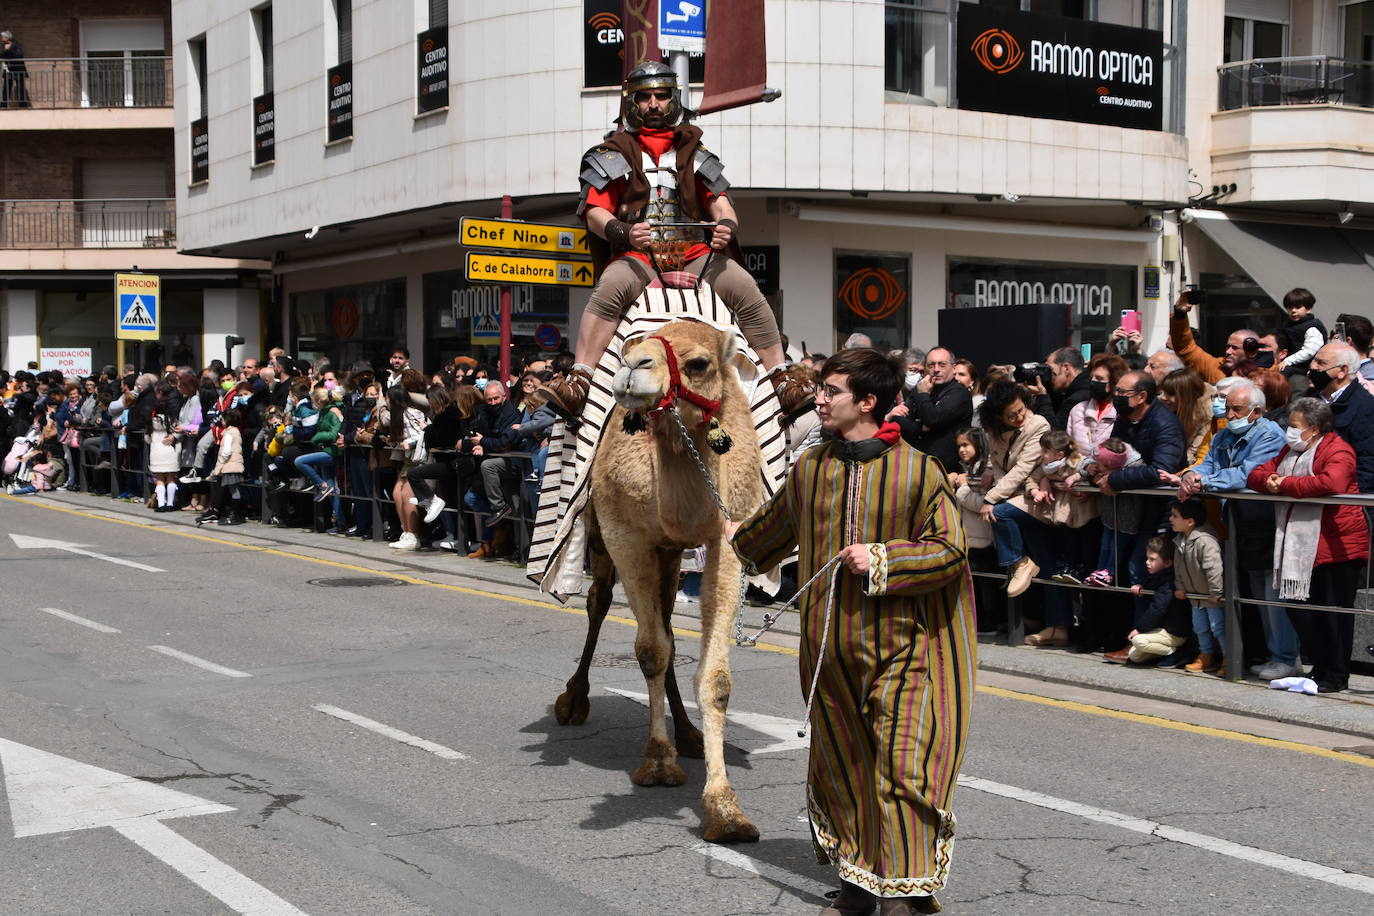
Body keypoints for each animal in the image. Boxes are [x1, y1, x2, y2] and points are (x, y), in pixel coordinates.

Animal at [552, 317, 769, 845]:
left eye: (699, 363)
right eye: (628, 348)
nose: (634, 368)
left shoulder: (728, 537)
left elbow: (714, 676)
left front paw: (725, 810)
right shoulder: (626, 534)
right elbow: (650, 650)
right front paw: (657, 763)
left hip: (672, 556)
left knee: (669, 620)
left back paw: (688, 733)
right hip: (603, 539)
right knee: (600, 602)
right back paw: (574, 700)